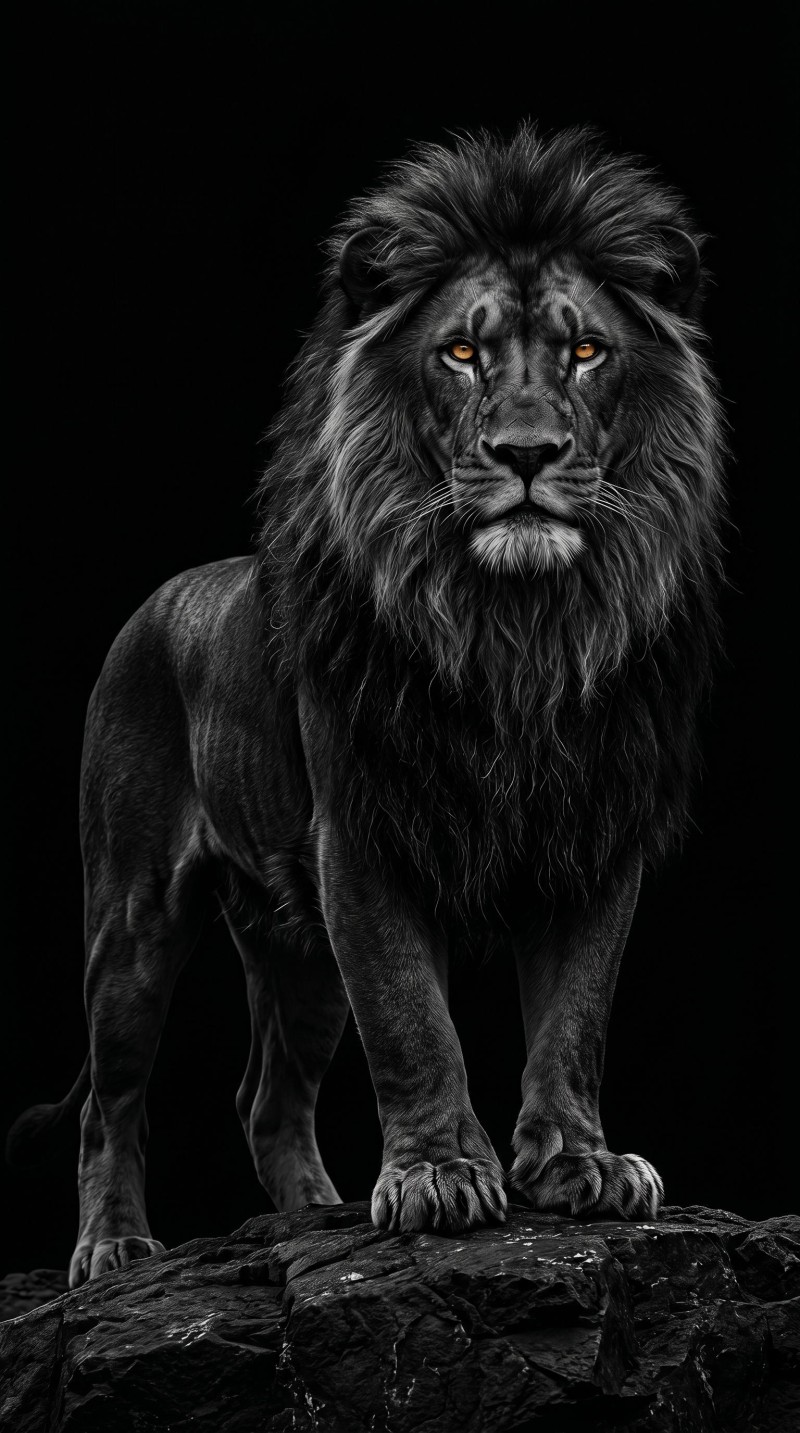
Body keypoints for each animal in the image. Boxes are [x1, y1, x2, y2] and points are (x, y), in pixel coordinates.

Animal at [7, 124, 725, 1287]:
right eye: (462, 353)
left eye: (583, 352)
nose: (527, 454)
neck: (514, 629)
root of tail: (160, 599)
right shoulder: (365, 839)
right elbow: (412, 1020)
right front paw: (439, 1177)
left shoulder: (593, 840)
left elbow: (573, 1018)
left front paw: (580, 1163)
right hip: (131, 919)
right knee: (108, 1103)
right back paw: (113, 1246)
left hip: (294, 952)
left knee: (265, 1096)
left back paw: (314, 1217)